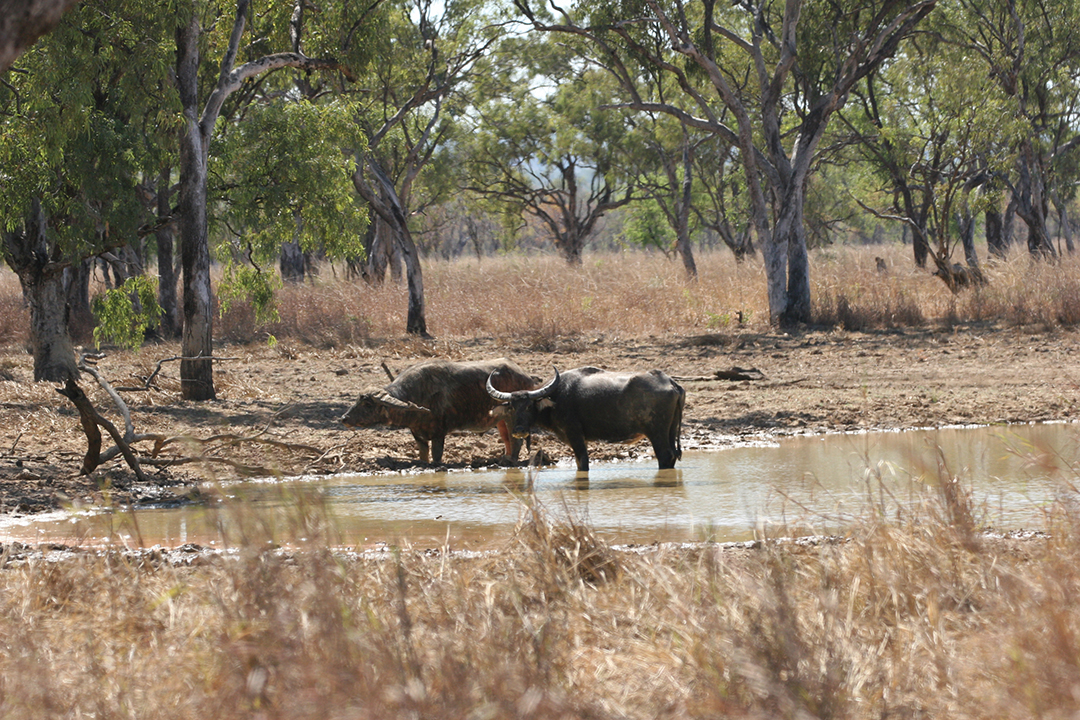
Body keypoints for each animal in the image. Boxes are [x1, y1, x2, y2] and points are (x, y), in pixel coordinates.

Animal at [339, 358, 537, 464]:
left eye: (368, 404)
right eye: (358, 400)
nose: (344, 418)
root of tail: (526, 377)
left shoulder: (439, 434)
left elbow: (436, 457)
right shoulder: (418, 435)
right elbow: (423, 457)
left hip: (512, 418)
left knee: (516, 441)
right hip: (500, 420)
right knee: (507, 440)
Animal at [488, 367, 682, 472]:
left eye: (529, 406)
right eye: (512, 407)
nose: (519, 430)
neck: (557, 397)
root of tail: (670, 382)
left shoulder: (575, 436)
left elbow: (582, 463)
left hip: (657, 433)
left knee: (665, 456)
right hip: (671, 431)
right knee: (672, 455)